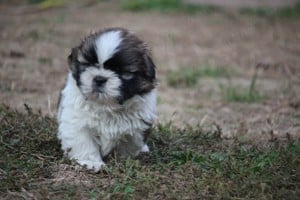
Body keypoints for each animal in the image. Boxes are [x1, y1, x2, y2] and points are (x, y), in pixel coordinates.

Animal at [56, 27, 157, 172]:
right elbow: (83, 141)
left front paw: (122, 161)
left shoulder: (137, 127)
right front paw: (90, 162)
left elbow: (128, 146)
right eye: (88, 64)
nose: (99, 78)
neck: (107, 106)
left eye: (123, 72)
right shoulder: (76, 122)